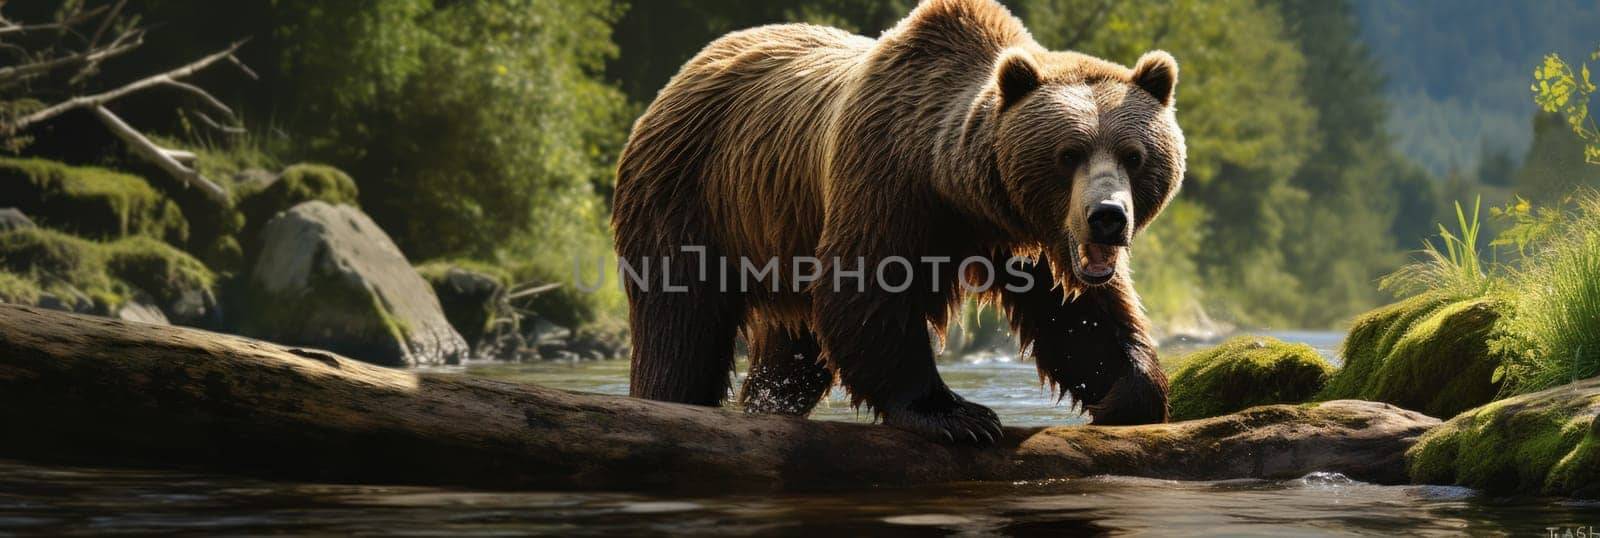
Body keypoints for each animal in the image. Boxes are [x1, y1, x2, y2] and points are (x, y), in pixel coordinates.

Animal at [611, 0, 1190, 441]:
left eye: (1134, 155)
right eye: (1068, 153)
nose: (1107, 217)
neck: (960, 190)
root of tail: (682, 73)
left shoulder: (1029, 240)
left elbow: (1081, 317)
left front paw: (1126, 394)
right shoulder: (887, 180)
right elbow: (866, 289)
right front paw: (957, 415)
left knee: (791, 349)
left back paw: (767, 403)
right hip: (690, 194)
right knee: (679, 321)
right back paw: (669, 399)